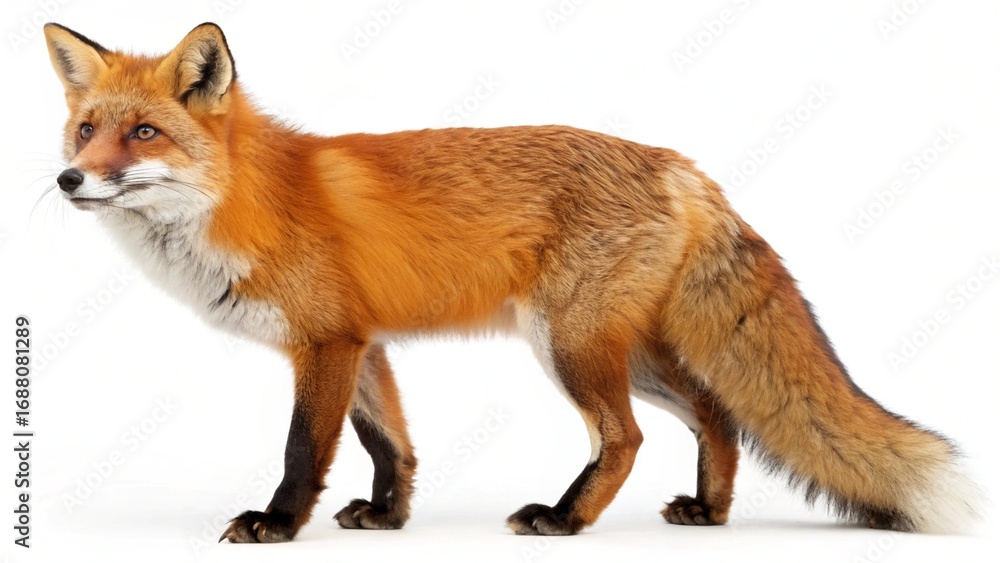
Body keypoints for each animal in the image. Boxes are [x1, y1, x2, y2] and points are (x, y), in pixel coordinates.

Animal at [43, 22, 981, 543]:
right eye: (86, 131)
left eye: (143, 132)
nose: (67, 181)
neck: (245, 199)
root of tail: (680, 164)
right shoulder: (364, 342)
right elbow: (391, 443)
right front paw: (388, 518)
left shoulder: (325, 343)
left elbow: (304, 448)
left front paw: (277, 523)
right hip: (626, 350)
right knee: (716, 413)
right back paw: (710, 511)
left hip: (569, 344)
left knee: (627, 436)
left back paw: (565, 519)